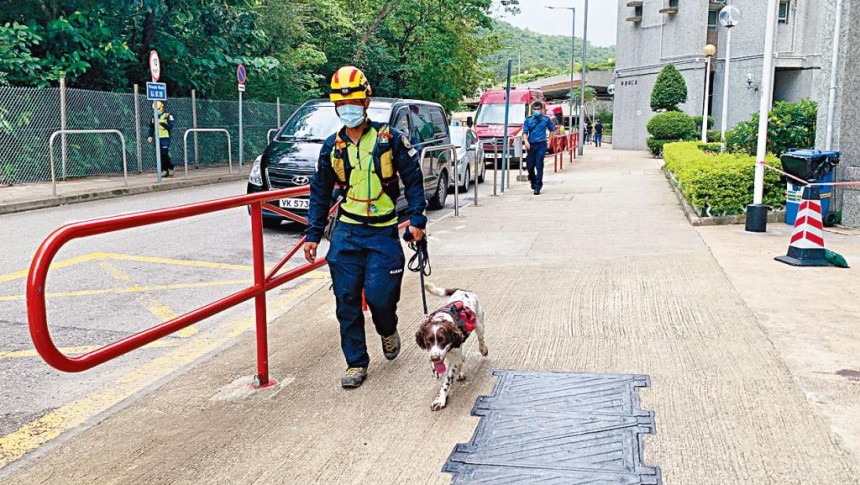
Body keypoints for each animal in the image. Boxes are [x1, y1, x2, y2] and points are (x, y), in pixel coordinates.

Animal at [414, 282, 488, 410]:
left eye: (442, 340)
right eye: (428, 341)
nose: (435, 358)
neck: (441, 319)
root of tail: (461, 290)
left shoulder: (453, 356)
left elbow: (447, 381)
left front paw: (440, 400)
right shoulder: (433, 353)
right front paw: (436, 371)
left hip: (479, 324)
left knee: (480, 338)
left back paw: (483, 349)